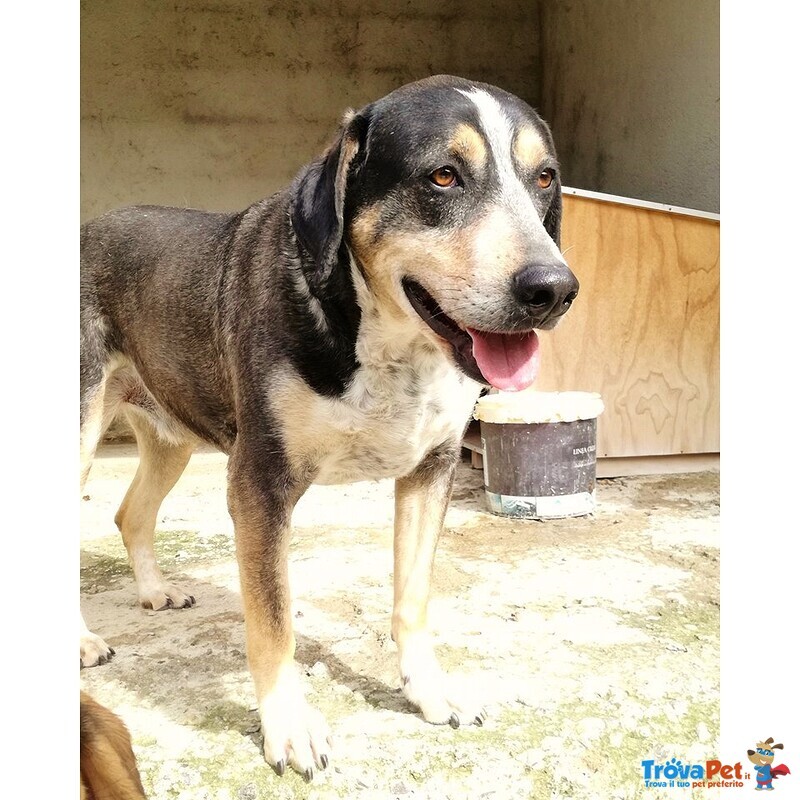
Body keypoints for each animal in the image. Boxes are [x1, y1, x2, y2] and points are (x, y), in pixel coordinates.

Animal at [80, 74, 578, 778]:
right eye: (444, 176)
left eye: (544, 178)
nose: (554, 288)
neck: (388, 342)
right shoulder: (259, 484)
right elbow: (271, 622)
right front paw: (288, 726)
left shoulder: (431, 472)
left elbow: (412, 598)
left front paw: (428, 690)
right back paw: (81, 640)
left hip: (171, 434)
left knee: (130, 513)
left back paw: (154, 592)